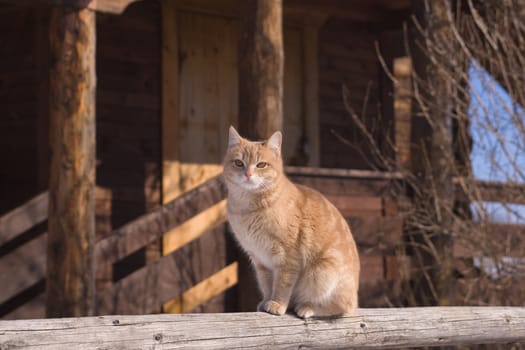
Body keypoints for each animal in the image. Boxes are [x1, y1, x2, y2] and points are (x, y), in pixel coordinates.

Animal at [221, 127, 360, 318]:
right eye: (238, 163)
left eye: (261, 165)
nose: (248, 174)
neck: (248, 208)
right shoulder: (260, 261)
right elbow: (267, 285)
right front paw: (267, 301)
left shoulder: (287, 256)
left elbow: (282, 284)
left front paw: (277, 304)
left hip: (322, 272)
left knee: (342, 307)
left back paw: (306, 307)